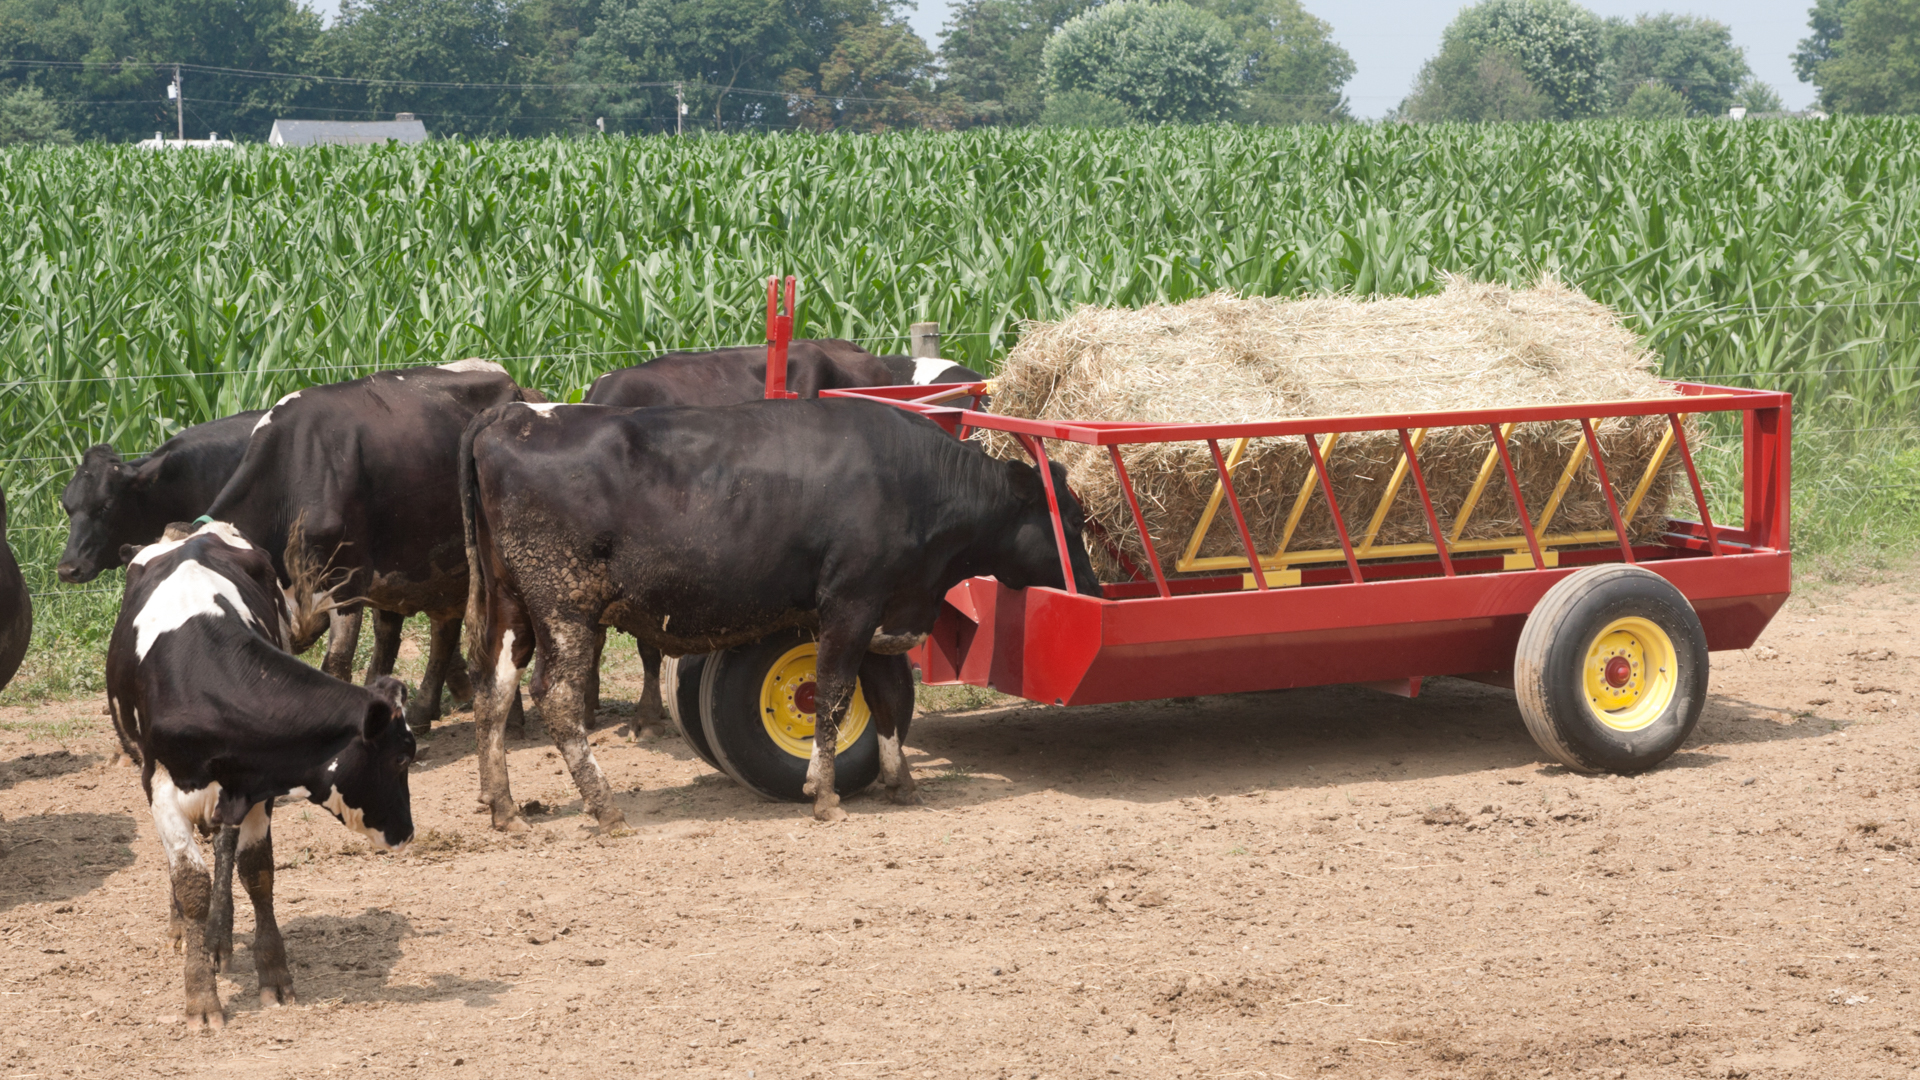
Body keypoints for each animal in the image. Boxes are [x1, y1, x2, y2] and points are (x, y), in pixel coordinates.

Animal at [456, 393, 1105, 822]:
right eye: (1074, 519)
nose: (1096, 590)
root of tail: (510, 415)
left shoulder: (881, 609)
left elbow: (890, 696)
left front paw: (900, 779)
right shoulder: (849, 604)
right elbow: (835, 693)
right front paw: (823, 792)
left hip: (513, 611)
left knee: (493, 693)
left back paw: (504, 806)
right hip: (565, 608)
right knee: (557, 697)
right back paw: (603, 805)